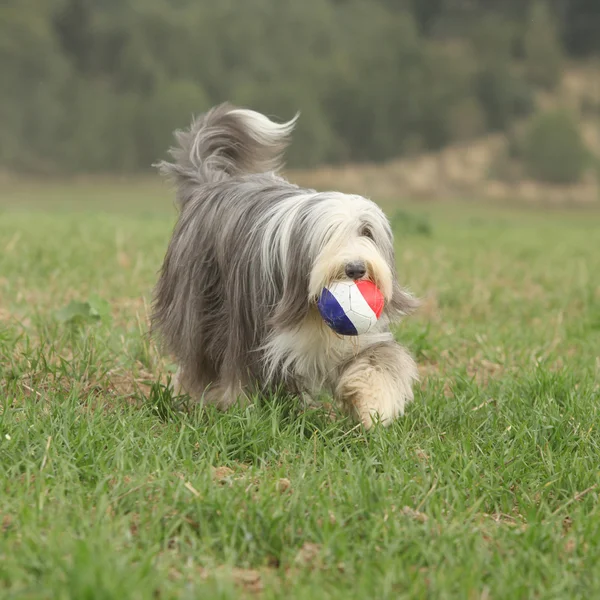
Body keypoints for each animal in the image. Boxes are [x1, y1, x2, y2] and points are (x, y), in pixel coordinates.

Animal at [152, 103, 420, 426]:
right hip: (201, 304)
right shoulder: (248, 325)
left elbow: (381, 359)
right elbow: (240, 371)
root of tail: (214, 183)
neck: (312, 311)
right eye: (329, 235)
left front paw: (373, 406)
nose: (355, 269)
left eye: (366, 231)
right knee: (200, 356)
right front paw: (239, 407)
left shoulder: (362, 334)